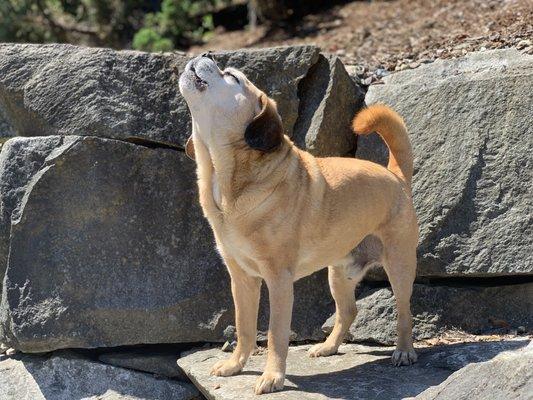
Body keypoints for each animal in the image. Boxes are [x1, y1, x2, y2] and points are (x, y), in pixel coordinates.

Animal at [181, 54, 418, 396]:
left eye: (232, 77)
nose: (205, 56)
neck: (228, 181)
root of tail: (395, 176)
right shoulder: (242, 280)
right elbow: (244, 328)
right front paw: (236, 365)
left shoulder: (278, 280)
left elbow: (275, 333)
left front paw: (273, 377)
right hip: (339, 274)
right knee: (348, 311)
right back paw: (328, 346)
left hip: (399, 266)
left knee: (404, 311)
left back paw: (404, 351)